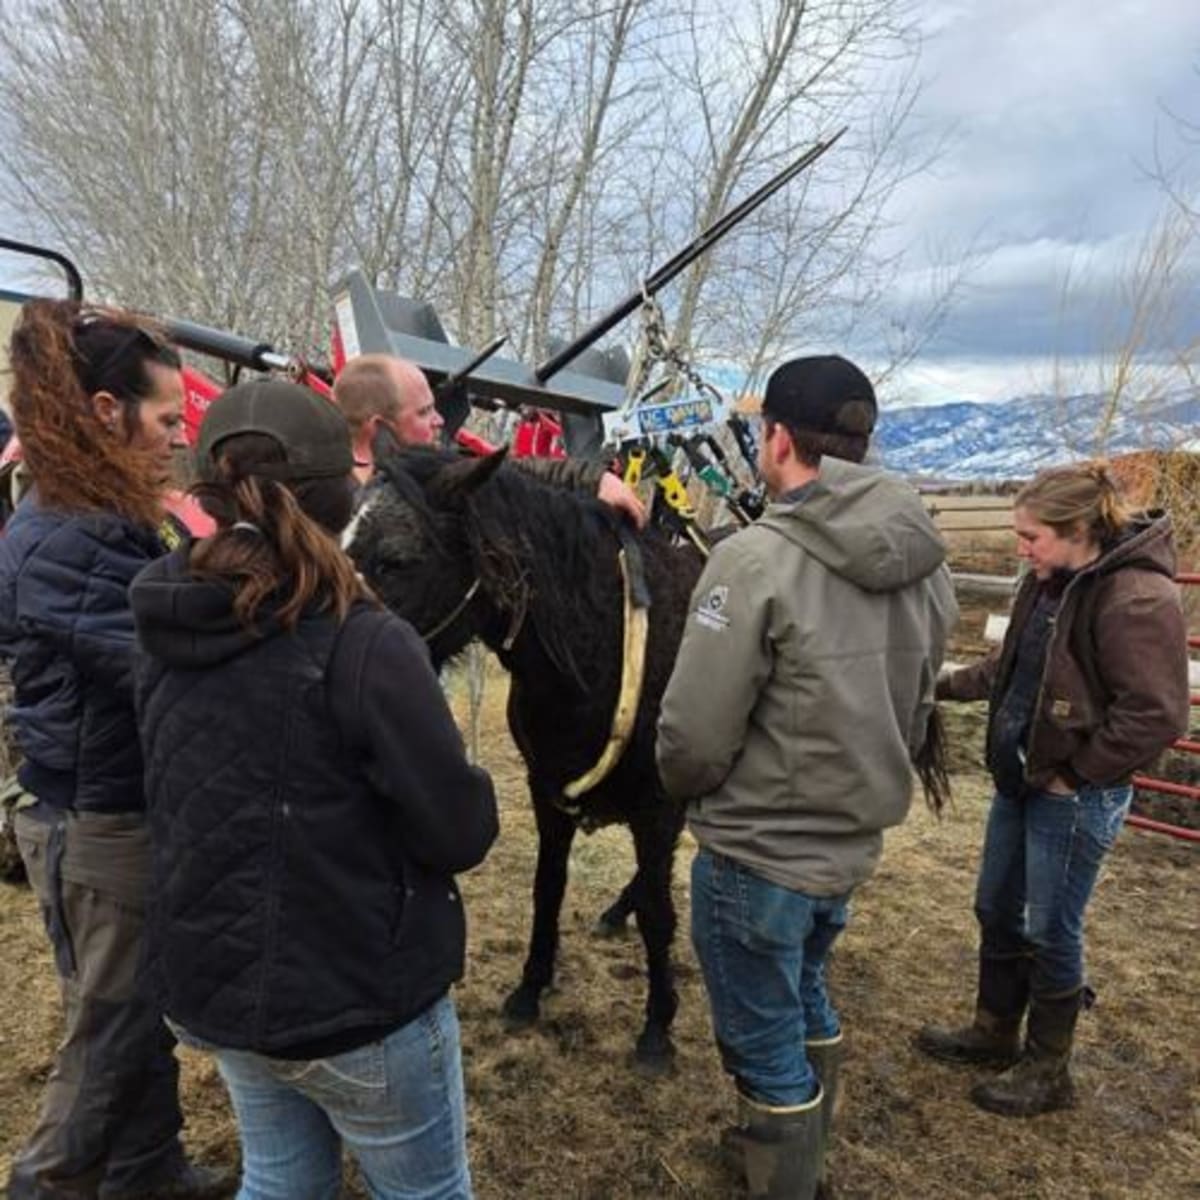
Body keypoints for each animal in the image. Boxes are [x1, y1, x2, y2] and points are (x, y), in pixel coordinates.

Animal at [344, 445, 705, 1069]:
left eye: (397, 560)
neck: (602, 647)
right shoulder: (547, 793)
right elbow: (548, 888)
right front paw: (531, 987)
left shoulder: (657, 809)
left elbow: (661, 916)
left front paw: (657, 1027)